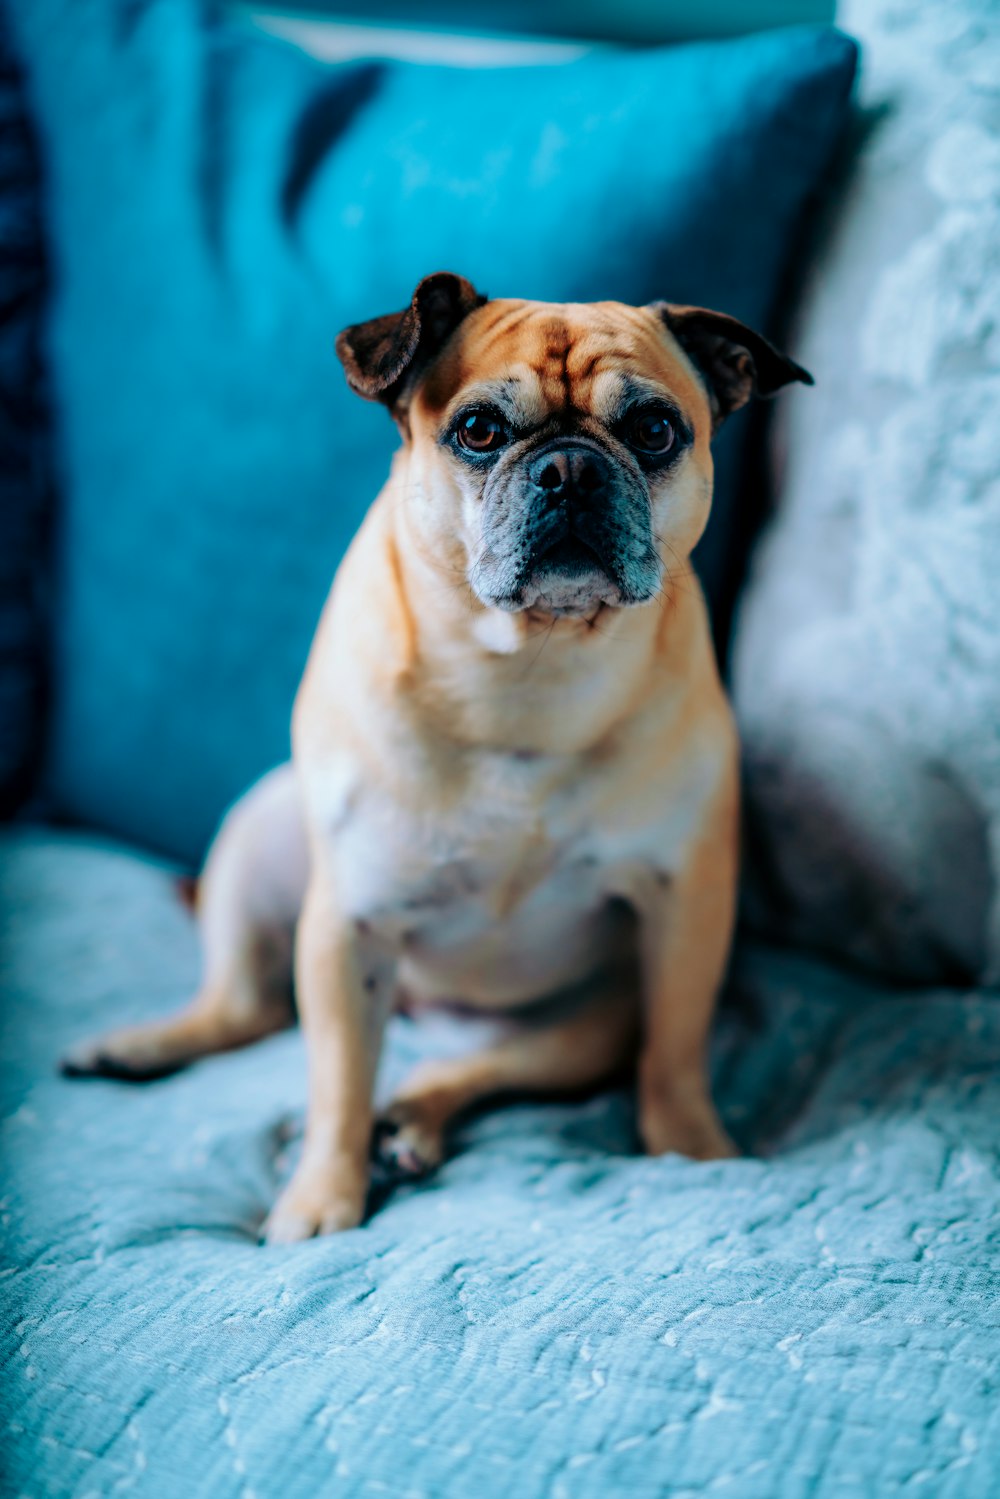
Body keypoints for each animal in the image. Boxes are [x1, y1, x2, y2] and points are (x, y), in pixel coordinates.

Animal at [60, 272, 815, 1241]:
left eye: (654, 431)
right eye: (479, 430)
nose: (570, 467)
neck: (532, 666)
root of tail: (437, 1013)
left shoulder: (686, 906)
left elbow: (675, 1054)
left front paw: (692, 1145)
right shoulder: (346, 927)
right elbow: (339, 1081)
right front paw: (320, 1200)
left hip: (574, 1032)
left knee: (448, 1072)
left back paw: (411, 1126)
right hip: (261, 833)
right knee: (244, 1006)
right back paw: (141, 1045)